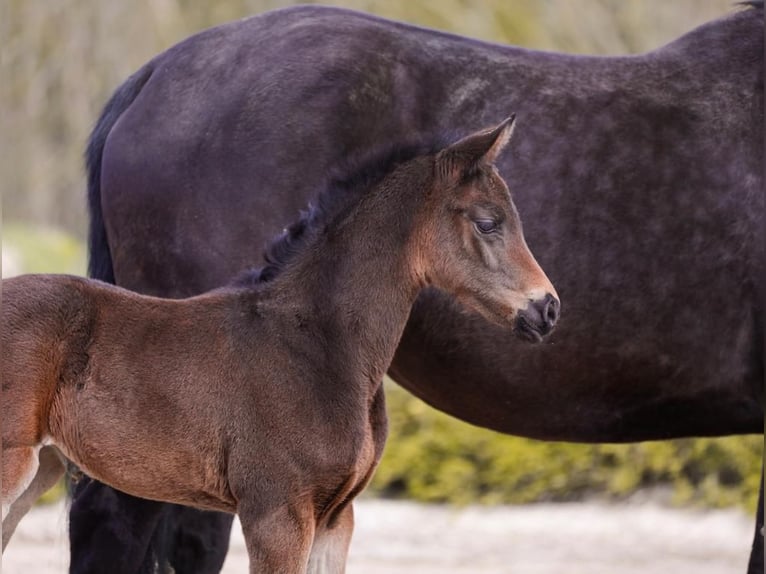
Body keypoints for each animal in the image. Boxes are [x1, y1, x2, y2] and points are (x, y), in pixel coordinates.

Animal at [3, 119, 560, 572]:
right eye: (487, 222)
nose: (548, 309)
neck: (320, 345)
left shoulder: (336, 518)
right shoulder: (278, 513)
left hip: (42, 467)